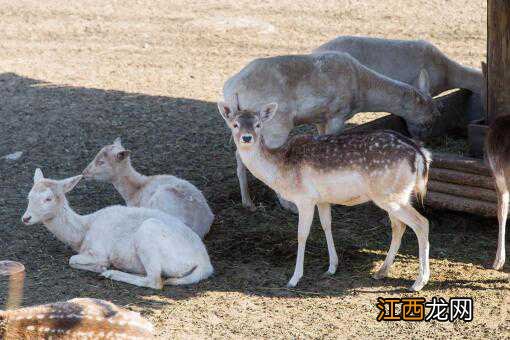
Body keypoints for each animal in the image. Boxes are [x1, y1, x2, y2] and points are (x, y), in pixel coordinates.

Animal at [20, 169, 213, 288]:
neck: (83, 231)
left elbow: (72, 260)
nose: (26, 218)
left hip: (149, 234)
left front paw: (101, 267)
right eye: (29, 196)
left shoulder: (98, 250)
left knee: (155, 281)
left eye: (48, 198)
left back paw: (112, 273)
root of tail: (205, 264)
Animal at [217, 99, 432, 290]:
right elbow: (327, 225)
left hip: (390, 195)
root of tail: (421, 155)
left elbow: (302, 234)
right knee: (399, 226)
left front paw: (294, 279)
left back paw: (418, 283)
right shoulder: (322, 199)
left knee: (421, 223)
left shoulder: (304, 198)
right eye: (235, 124)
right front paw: (332, 267)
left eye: (258, 124)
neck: (280, 169)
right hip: (395, 196)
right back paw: (381, 271)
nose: (247, 137)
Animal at [222, 52, 438, 212]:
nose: (424, 140)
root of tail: (231, 89)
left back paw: (248, 202)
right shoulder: (337, 114)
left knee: (239, 155)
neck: (362, 90)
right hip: (276, 124)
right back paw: (289, 205)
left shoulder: (321, 118)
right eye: (428, 120)